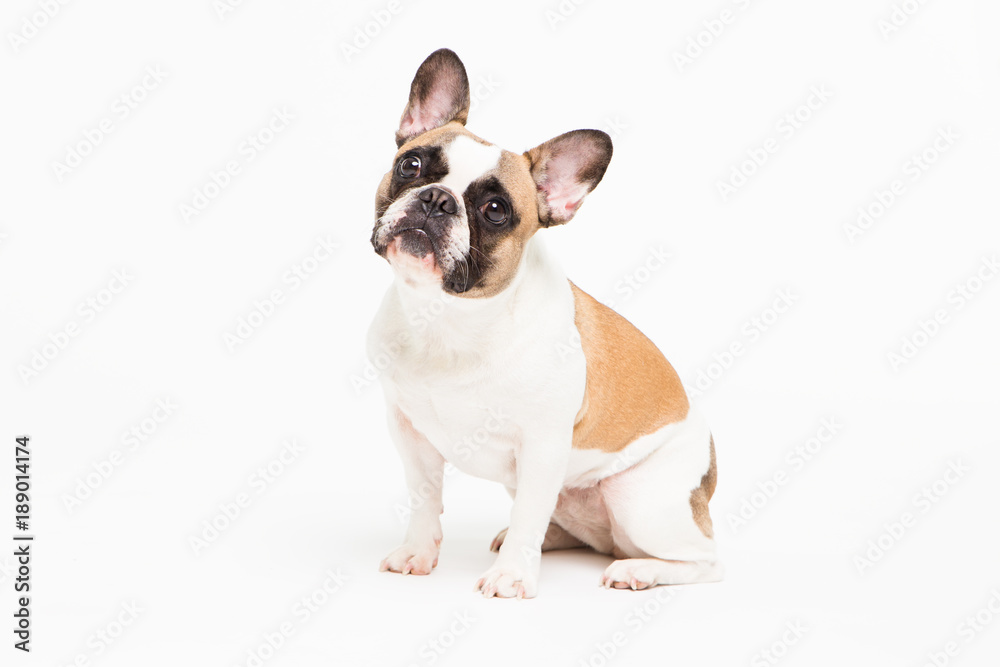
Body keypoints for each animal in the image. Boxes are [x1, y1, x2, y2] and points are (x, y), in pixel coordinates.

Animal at [368, 49, 720, 596]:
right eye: (412, 165)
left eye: (495, 210)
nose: (436, 199)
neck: (451, 318)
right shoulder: (409, 433)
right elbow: (425, 498)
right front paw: (418, 553)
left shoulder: (543, 447)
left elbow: (530, 513)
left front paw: (513, 576)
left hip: (640, 499)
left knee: (705, 560)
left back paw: (638, 569)